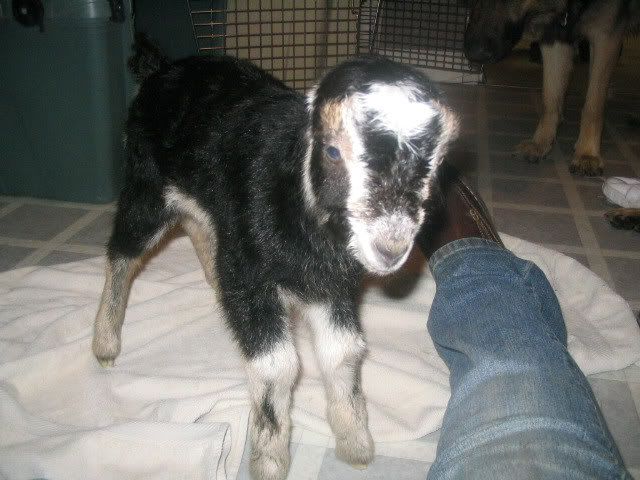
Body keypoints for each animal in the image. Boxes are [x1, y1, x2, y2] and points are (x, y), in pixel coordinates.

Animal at [93, 36, 458, 480]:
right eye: (332, 151)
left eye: (437, 162)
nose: (391, 249)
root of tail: (160, 68)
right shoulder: (250, 275)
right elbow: (277, 366)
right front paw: (269, 459)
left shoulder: (330, 286)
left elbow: (343, 353)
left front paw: (354, 442)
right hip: (146, 185)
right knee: (123, 252)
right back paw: (105, 343)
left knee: (199, 225)